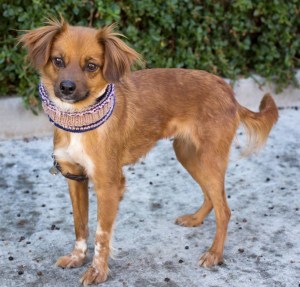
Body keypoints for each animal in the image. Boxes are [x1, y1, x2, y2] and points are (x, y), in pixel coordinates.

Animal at [19, 18, 278, 286]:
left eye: (91, 66)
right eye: (58, 61)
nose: (66, 87)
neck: (79, 119)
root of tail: (228, 92)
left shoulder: (108, 184)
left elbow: (101, 234)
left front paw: (98, 271)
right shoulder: (75, 177)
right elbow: (80, 225)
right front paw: (77, 257)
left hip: (209, 158)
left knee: (224, 210)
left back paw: (214, 254)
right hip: (188, 154)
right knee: (211, 197)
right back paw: (195, 219)